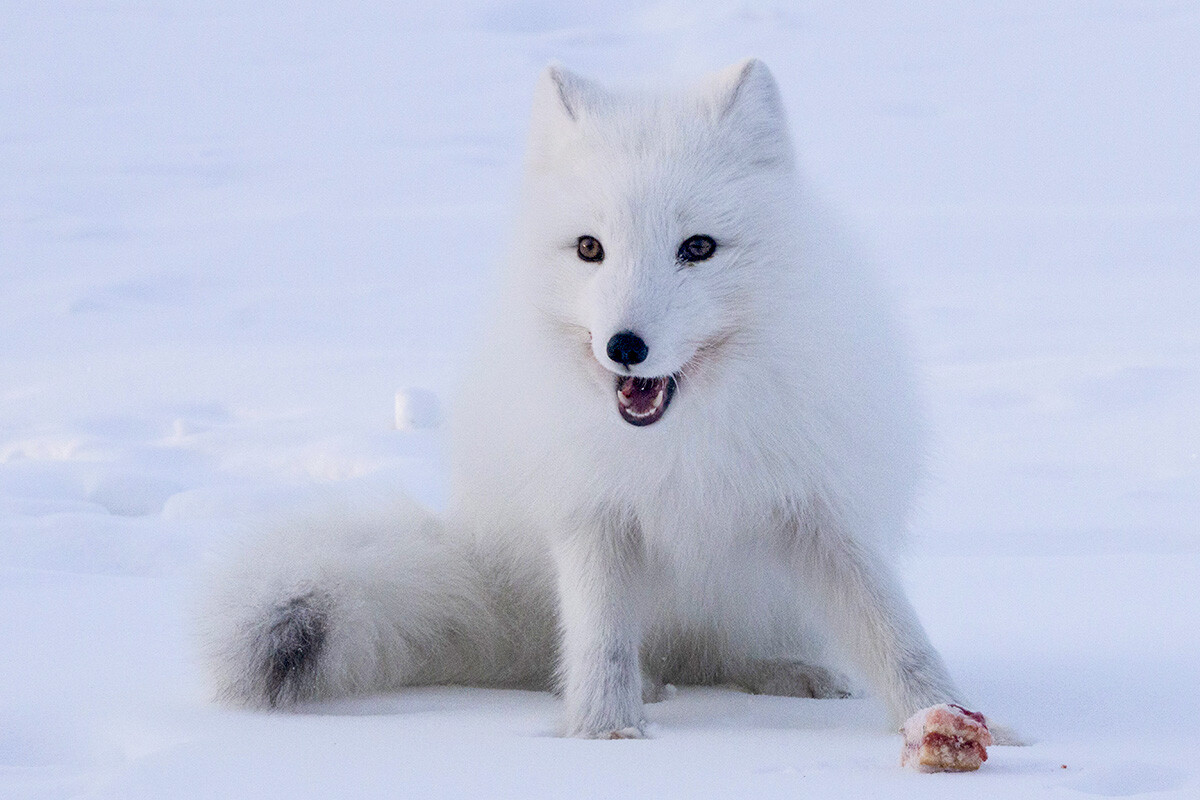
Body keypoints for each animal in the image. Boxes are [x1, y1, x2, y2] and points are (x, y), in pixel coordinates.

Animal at [204, 59, 974, 743]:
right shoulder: (593, 515)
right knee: (621, 655)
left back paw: (786, 672)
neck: (677, 440)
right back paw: (648, 687)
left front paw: (955, 716)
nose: (624, 346)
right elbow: (602, 638)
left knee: (721, 656)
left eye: (698, 247)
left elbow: (895, 632)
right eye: (589, 248)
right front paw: (605, 732)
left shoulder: (821, 509)